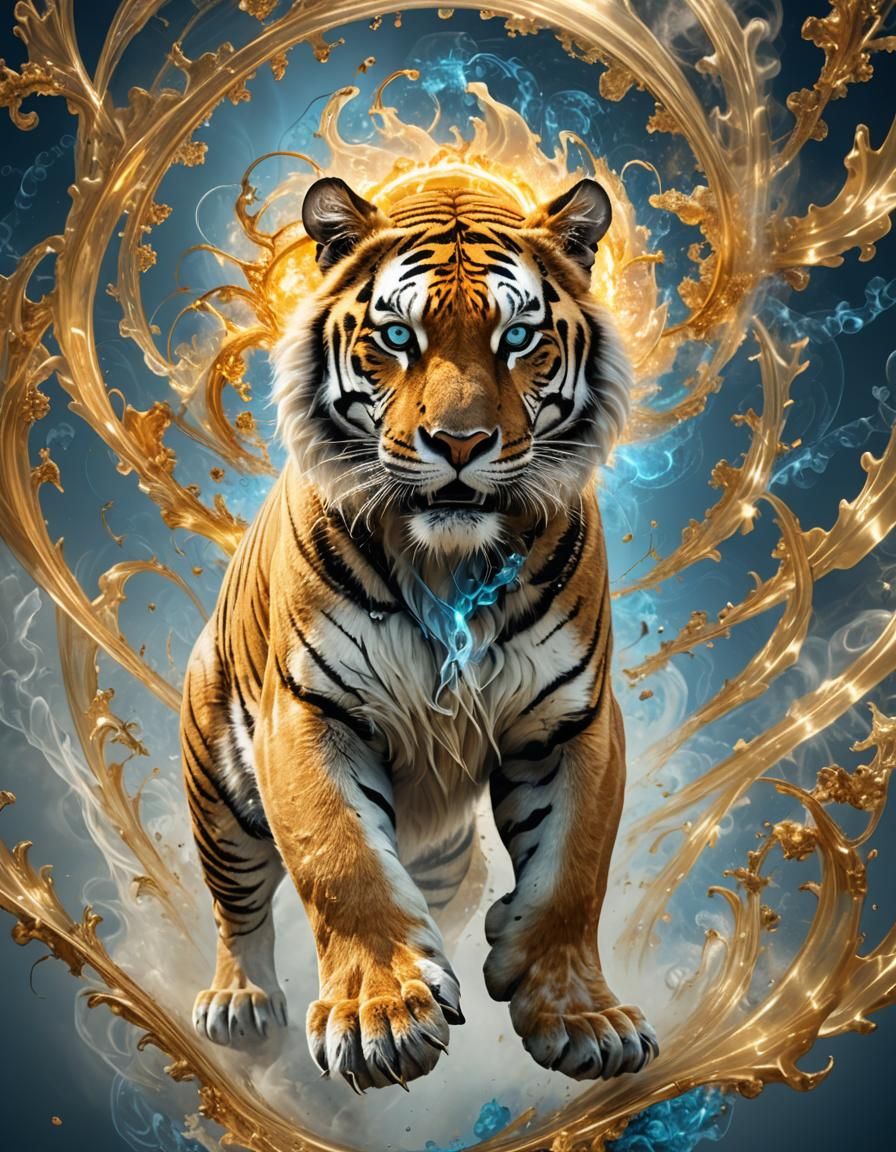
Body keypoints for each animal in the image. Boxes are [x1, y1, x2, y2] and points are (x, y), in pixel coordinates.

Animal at [181, 172, 659, 1093]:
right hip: (220, 793)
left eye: (518, 338)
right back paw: (239, 1001)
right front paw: (381, 1018)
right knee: (236, 908)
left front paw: (579, 1016)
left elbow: (572, 872)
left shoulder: (574, 720)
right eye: (398, 336)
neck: (450, 562)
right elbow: (342, 862)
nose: (461, 443)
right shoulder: (307, 712)